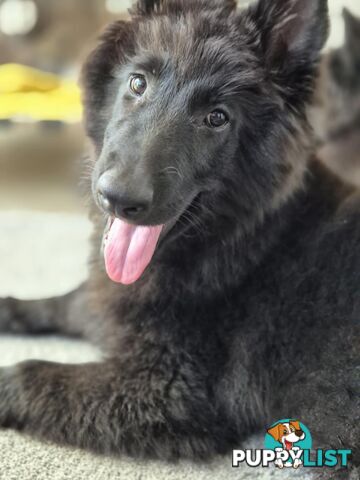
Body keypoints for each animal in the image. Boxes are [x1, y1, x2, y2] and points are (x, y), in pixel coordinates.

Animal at [0, 0, 358, 476]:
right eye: (138, 83)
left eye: (217, 118)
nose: (117, 198)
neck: (244, 241)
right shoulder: (113, 306)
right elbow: (69, 301)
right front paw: (8, 307)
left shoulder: (169, 391)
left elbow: (34, 373)